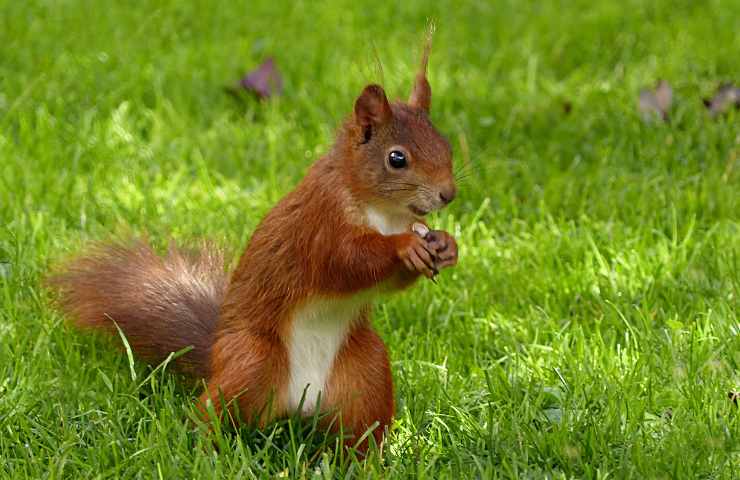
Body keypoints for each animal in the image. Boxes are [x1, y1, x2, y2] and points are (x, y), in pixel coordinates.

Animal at [49, 38, 456, 454]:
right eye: (397, 158)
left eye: (446, 144)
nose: (448, 194)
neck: (382, 211)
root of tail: (301, 401)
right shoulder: (319, 224)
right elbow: (347, 260)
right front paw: (404, 246)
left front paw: (446, 245)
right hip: (253, 362)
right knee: (215, 410)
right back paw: (202, 446)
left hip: (366, 372)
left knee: (359, 429)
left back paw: (365, 460)